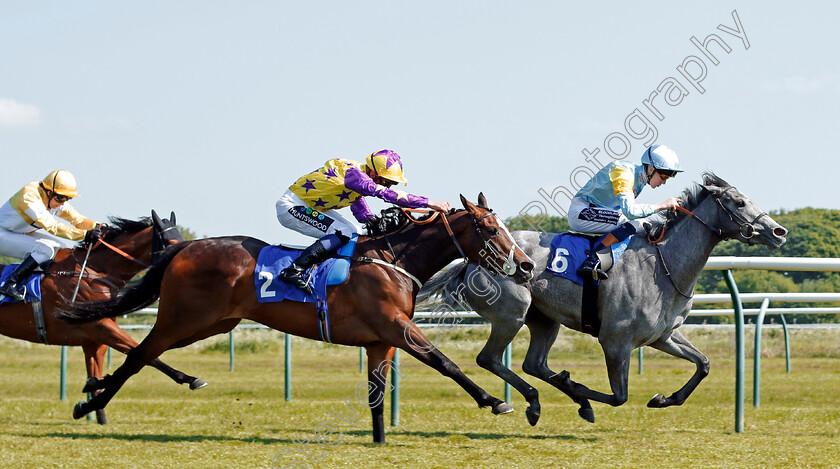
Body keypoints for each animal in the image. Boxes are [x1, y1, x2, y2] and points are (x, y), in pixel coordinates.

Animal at [2, 212, 206, 424]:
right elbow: (143, 352)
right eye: (171, 241)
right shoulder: (100, 327)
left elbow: (101, 368)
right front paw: (189, 379)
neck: (94, 273)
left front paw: (96, 406)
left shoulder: (94, 341)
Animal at [59, 194, 536, 442]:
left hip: (213, 324)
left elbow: (377, 393)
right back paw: (92, 402)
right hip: (183, 320)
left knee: (140, 354)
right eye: (489, 229)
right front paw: (497, 401)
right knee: (139, 354)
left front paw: (380, 439)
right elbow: (445, 362)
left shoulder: (380, 340)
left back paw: (95, 390)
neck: (392, 258)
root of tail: (184, 246)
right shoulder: (396, 328)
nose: (527, 266)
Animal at [420, 173, 788, 424]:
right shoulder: (615, 340)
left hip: (544, 319)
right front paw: (577, 389)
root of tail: (472, 258)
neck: (664, 266)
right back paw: (523, 400)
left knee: (533, 364)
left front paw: (663, 399)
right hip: (513, 313)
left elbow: (704, 364)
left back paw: (543, 399)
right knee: (490, 359)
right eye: (739, 202)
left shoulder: (663, 336)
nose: (779, 231)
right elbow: (619, 396)